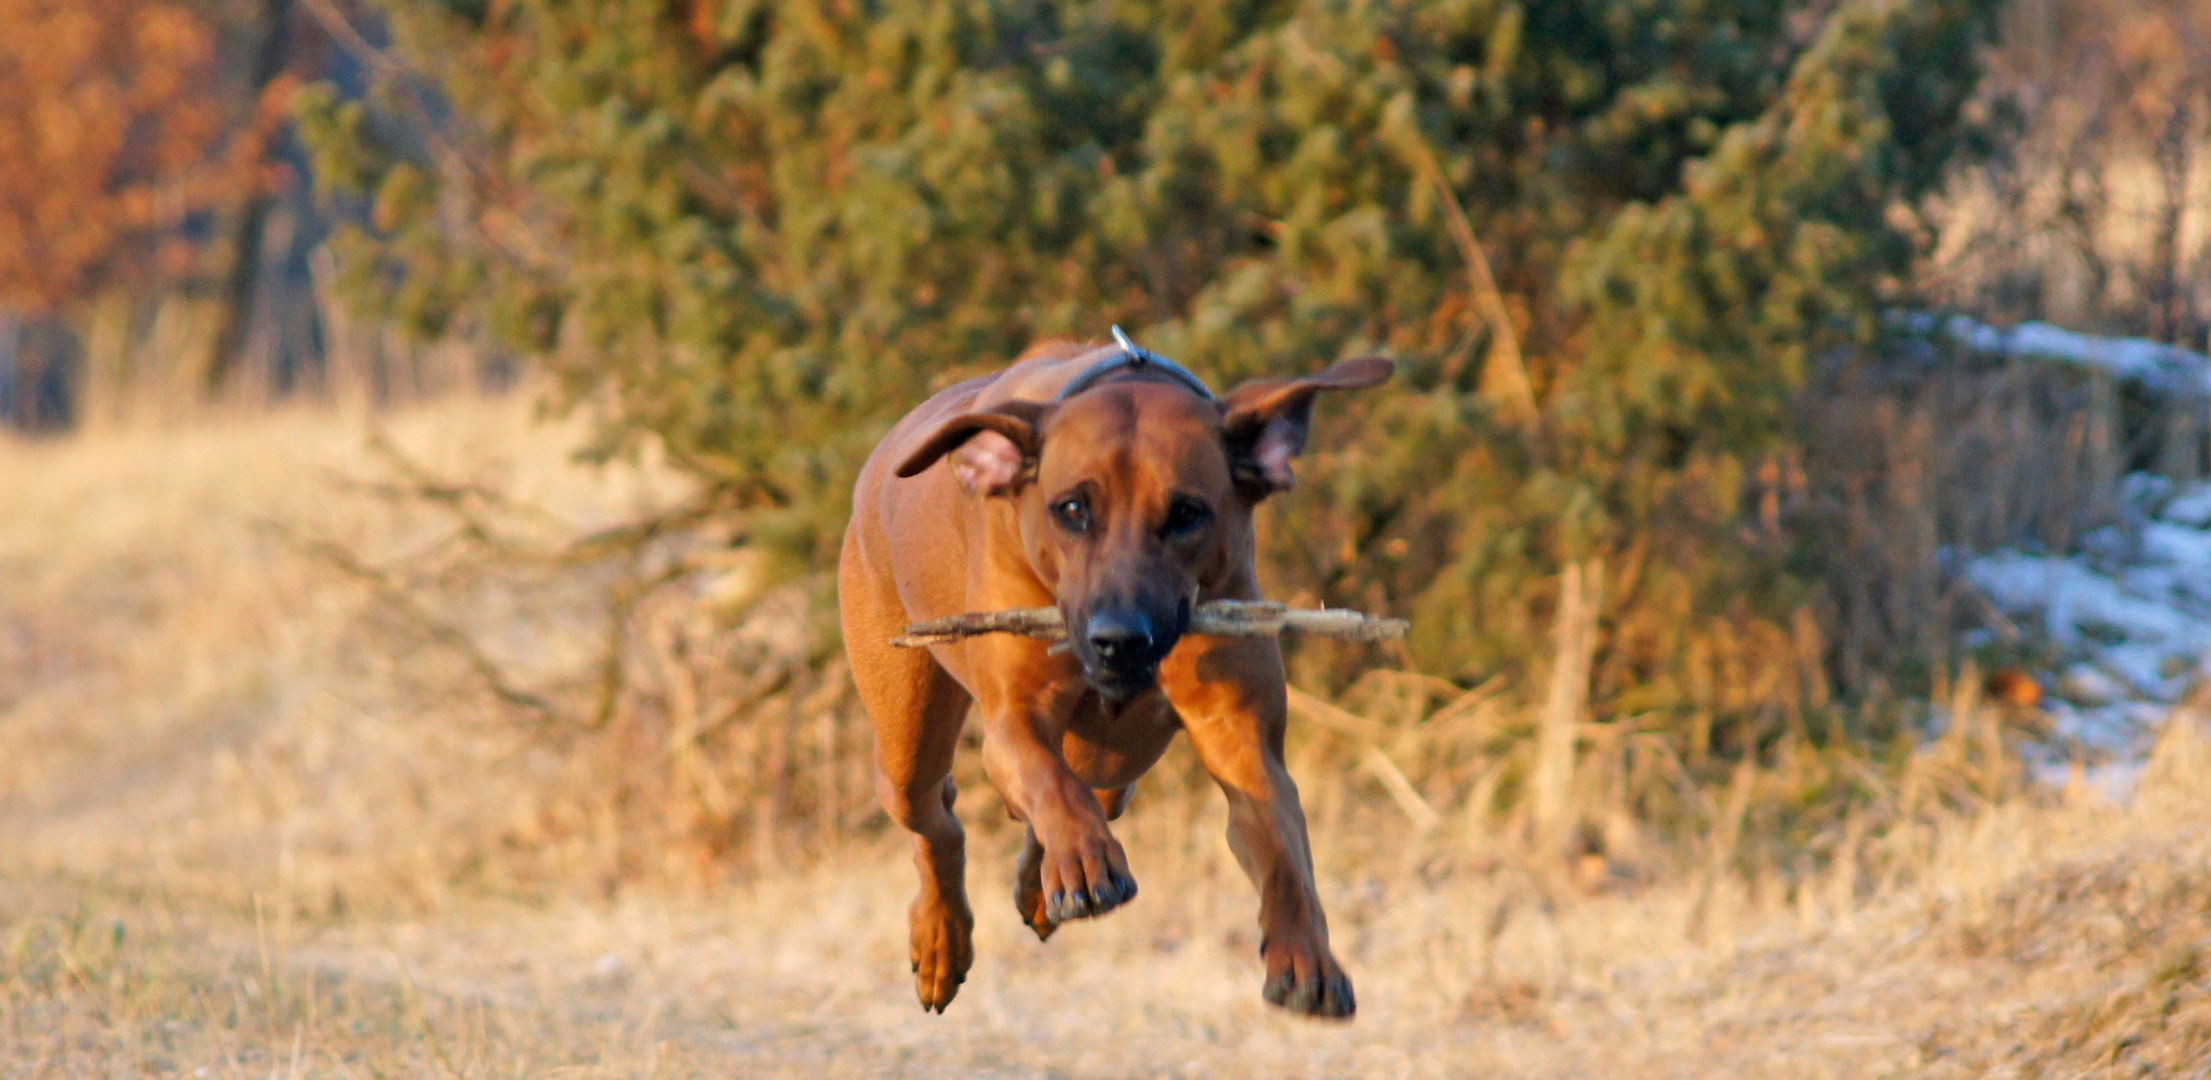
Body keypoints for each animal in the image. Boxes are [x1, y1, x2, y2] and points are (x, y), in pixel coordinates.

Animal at [835, 334, 1388, 1018]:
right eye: (1071, 509)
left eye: (1188, 514)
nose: (1120, 640)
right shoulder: (1015, 717)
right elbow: (1048, 779)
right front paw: (1081, 860)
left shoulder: (1242, 735)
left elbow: (1285, 850)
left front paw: (1308, 958)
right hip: (906, 734)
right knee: (937, 818)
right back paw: (944, 938)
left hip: (1119, 759)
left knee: (1094, 789)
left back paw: (1037, 886)